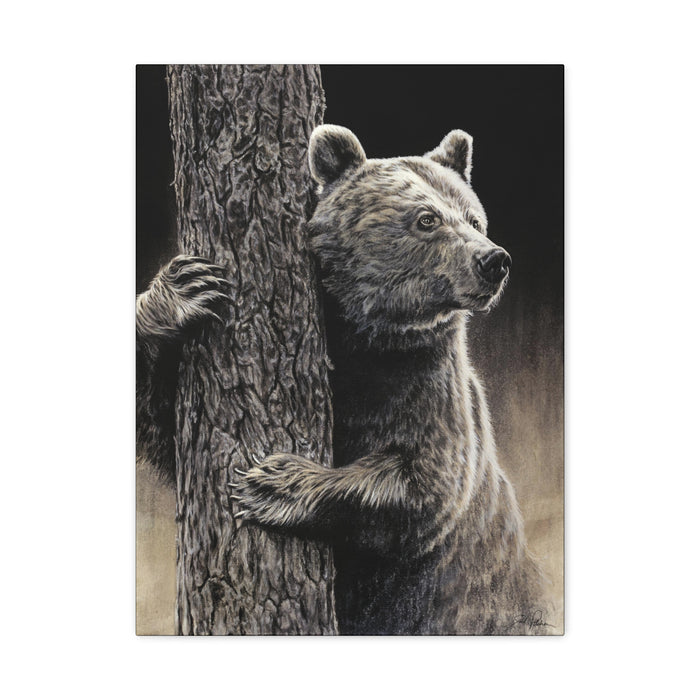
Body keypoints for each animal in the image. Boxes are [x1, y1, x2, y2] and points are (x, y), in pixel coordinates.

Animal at [230, 125, 551, 635]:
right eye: (427, 219)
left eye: (474, 219)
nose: (493, 260)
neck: (373, 341)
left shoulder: (429, 386)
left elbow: (426, 489)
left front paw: (273, 483)